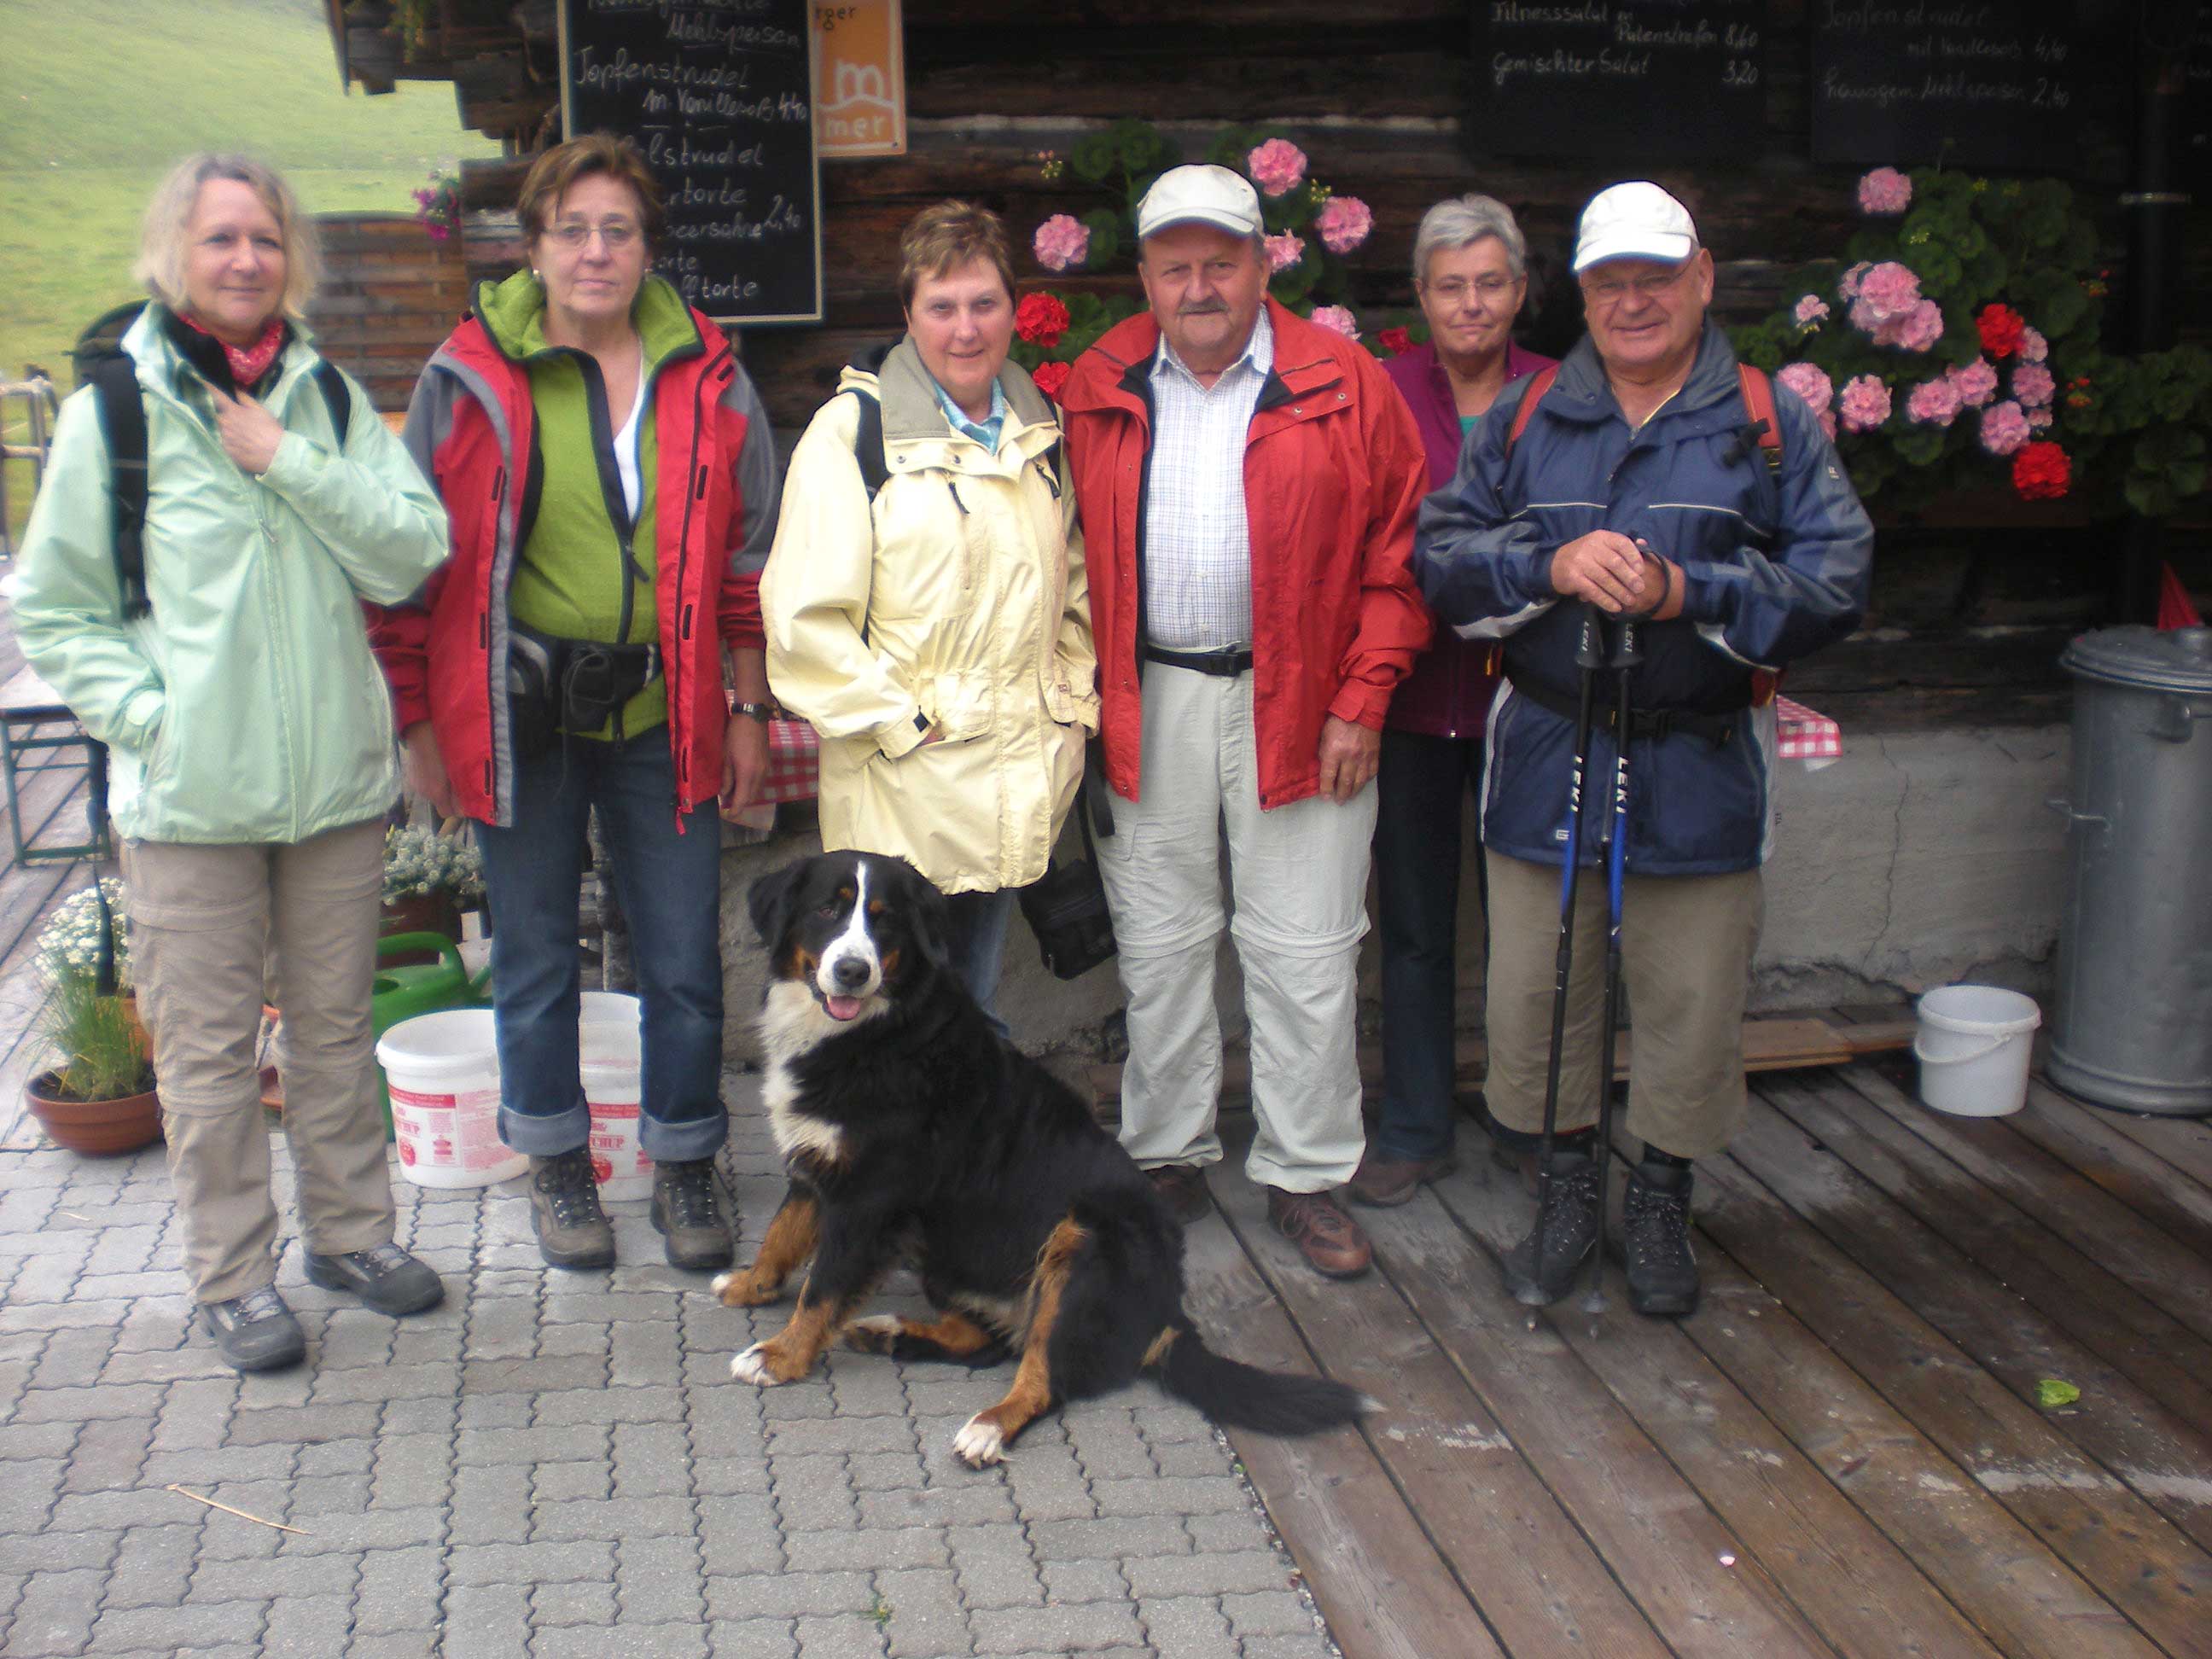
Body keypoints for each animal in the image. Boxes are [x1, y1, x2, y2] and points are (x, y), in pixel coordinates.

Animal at [716, 858, 1371, 1469]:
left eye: (884, 920)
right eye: (828, 909)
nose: (853, 970)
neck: (875, 1032)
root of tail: (1169, 1312)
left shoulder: (867, 1198)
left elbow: (822, 1287)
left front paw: (780, 1354)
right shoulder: (819, 1162)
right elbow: (783, 1233)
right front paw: (749, 1284)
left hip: (1081, 1242)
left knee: (1041, 1375)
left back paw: (986, 1426)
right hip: (954, 1256)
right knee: (987, 1342)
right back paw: (887, 1332)